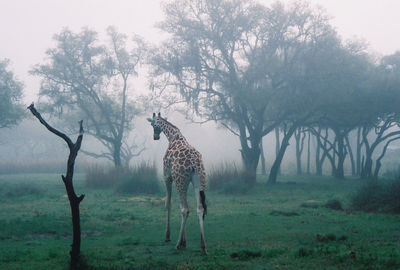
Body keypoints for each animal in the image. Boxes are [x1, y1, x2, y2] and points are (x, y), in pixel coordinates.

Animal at [148, 113, 209, 254]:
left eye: (152, 124)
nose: (155, 137)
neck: (173, 137)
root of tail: (194, 164)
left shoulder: (167, 176)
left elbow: (168, 204)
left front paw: (169, 237)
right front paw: (184, 242)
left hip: (180, 180)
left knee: (185, 209)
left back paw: (177, 244)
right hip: (198, 182)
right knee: (199, 208)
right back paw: (203, 246)